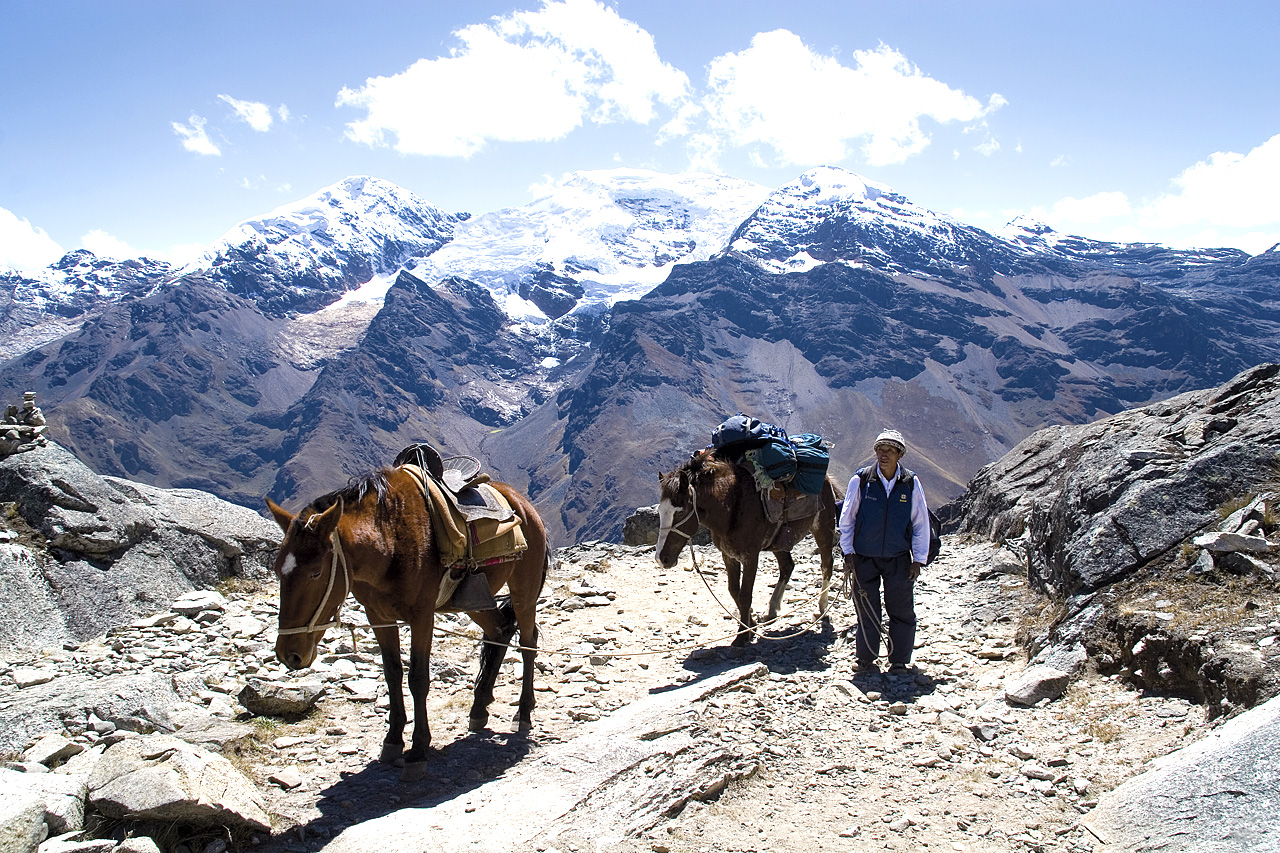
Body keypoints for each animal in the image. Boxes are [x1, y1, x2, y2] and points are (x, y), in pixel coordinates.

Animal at [267, 466, 547, 778]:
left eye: (315, 572)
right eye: (277, 570)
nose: (289, 654)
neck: (388, 542)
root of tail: (524, 505)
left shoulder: (421, 616)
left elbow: (418, 679)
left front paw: (418, 750)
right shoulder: (378, 617)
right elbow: (392, 674)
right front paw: (392, 740)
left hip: (524, 592)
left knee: (527, 643)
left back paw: (523, 713)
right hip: (474, 599)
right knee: (499, 631)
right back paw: (479, 709)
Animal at [660, 450, 839, 645]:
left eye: (680, 512)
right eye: (660, 511)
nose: (662, 559)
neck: (731, 507)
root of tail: (828, 479)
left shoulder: (750, 557)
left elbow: (745, 594)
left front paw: (741, 636)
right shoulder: (728, 556)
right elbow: (734, 591)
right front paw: (750, 626)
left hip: (823, 528)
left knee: (826, 565)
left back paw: (821, 607)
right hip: (780, 542)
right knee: (787, 566)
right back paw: (771, 610)